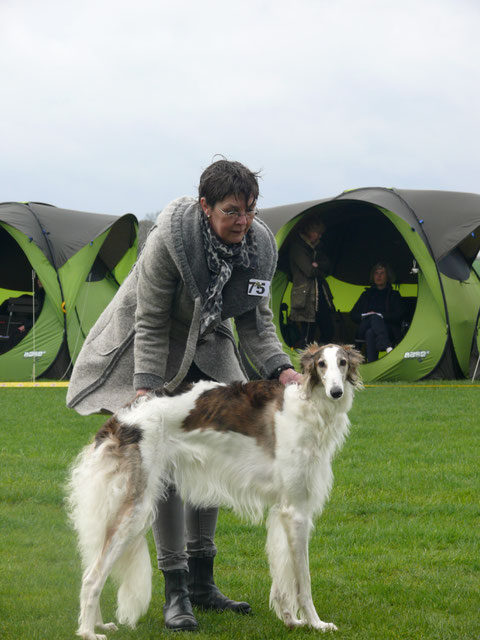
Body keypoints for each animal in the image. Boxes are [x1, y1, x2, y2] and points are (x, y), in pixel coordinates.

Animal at [65, 344, 362, 640]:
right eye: (322, 364)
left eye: (343, 363)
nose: (336, 391)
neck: (309, 404)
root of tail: (121, 419)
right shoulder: (296, 511)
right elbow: (303, 580)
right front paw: (316, 623)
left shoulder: (283, 511)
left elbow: (283, 577)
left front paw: (291, 619)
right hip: (136, 509)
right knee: (91, 576)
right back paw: (89, 632)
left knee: (90, 568)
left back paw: (98, 624)